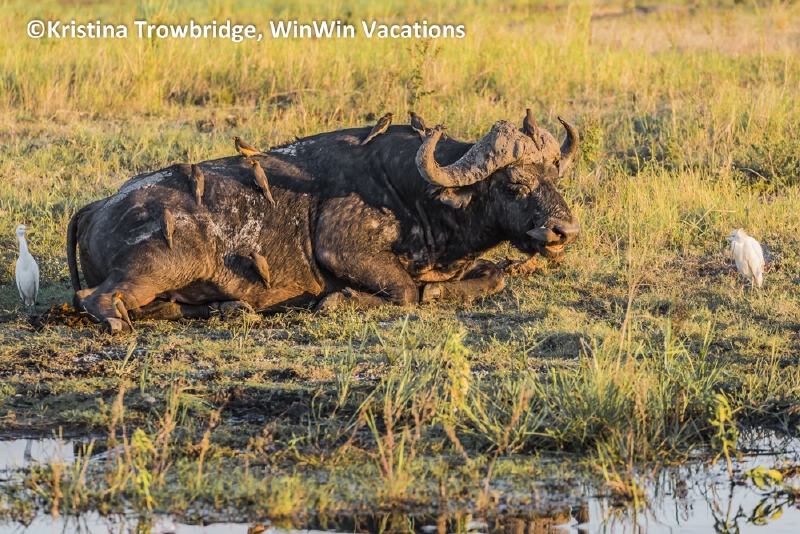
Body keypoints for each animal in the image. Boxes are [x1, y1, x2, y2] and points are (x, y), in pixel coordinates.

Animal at [68, 117, 580, 332]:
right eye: (514, 182)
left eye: (554, 176)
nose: (564, 232)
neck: (423, 196)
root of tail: (97, 204)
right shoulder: (341, 249)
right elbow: (406, 292)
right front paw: (340, 300)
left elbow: (493, 277)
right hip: (165, 263)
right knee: (96, 298)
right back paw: (118, 323)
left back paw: (227, 309)